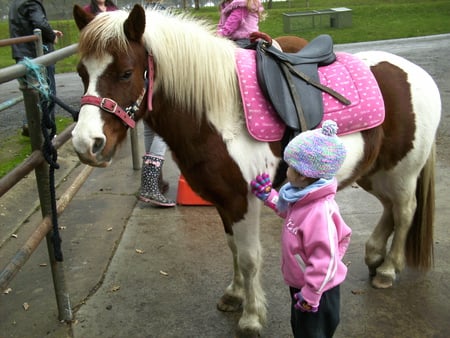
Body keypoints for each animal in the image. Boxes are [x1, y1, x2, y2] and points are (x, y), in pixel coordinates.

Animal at [72, 3, 442, 336]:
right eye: (81, 73)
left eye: (126, 72)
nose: (86, 144)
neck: (220, 114)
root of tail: (417, 73)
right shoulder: (224, 202)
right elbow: (234, 249)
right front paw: (234, 295)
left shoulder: (243, 202)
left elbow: (249, 257)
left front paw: (251, 317)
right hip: (376, 172)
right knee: (390, 207)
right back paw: (375, 254)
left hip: (403, 171)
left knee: (405, 210)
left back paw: (389, 270)